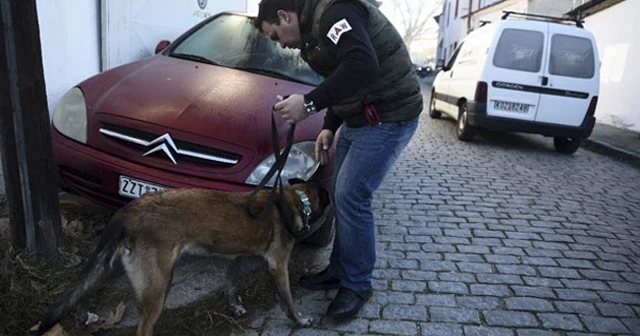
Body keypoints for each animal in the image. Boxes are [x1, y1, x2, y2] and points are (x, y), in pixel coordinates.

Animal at [37, 181, 332, 336]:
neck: (297, 199)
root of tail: (131, 209)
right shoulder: (278, 264)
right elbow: (289, 298)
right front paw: (300, 320)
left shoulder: (238, 257)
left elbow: (232, 282)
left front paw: (236, 307)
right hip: (158, 287)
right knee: (142, 328)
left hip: (119, 267)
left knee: (85, 288)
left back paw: (84, 317)